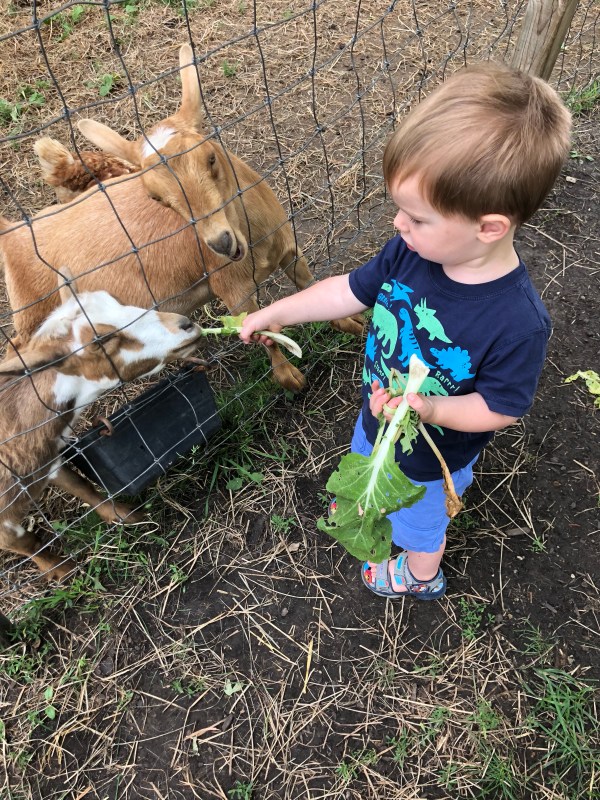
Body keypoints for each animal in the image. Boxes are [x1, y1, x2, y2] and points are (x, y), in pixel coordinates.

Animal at [0, 275, 203, 580]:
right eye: (101, 339)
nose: (185, 324)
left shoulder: (48, 458)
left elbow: (84, 487)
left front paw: (125, 516)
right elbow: (24, 543)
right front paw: (61, 571)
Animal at [1, 44, 363, 393]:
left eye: (211, 157)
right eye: (155, 197)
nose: (221, 242)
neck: (257, 244)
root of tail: (13, 233)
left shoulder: (289, 249)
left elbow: (309, 286)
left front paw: (350, 323)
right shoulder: (232, 289)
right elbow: (262, 334)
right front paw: (289, 377)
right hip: (37, 315)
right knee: (19, 346)